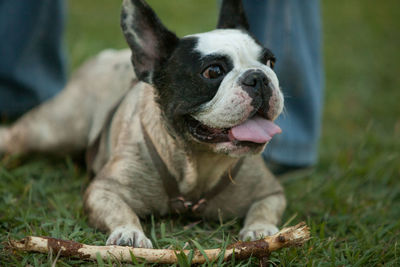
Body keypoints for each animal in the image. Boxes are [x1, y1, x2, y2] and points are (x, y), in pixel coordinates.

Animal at [0, 0, 288, 249]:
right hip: (56, 130)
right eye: (213, 71)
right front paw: (129, 232)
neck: (197, 164)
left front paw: (260, 229)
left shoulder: (270, 192)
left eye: (271, 62)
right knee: (20, 135)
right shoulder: (103, 190)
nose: (258, 77)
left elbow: (264, 208)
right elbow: (119, 210)